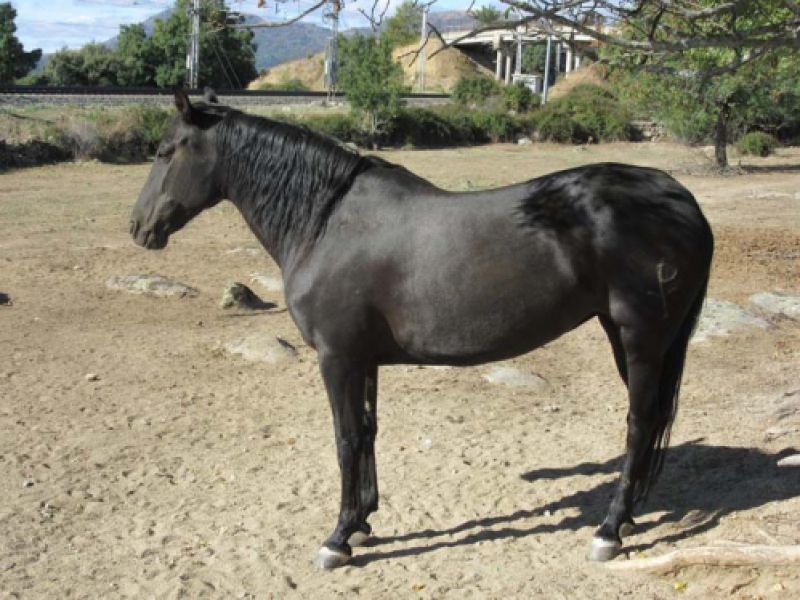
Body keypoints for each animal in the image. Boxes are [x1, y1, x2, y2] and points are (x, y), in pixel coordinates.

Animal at [130, 89, 714, 569]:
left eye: (166, 151)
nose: (139, 228)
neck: (325, 221)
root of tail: (679, 197)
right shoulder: (362, 359)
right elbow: (367, 432)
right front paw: (361, 522)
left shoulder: (337, 357)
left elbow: (345, 439)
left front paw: (337, 539)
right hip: (629, 335)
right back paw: (629, 516)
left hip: (641, 337)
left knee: (639, 422)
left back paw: (609, 530)